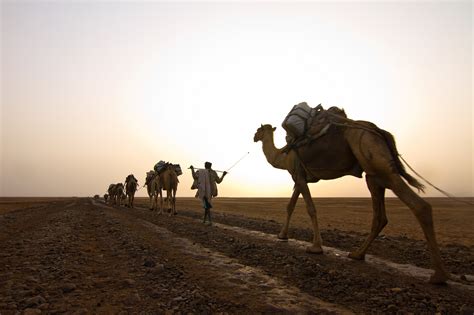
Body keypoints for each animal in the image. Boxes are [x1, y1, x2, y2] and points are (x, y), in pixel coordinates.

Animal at [252, 110, 448, 284]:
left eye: (259, 129)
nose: (253, 137)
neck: (283, 155)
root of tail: (378, 130)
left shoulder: (299, 176)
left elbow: (310, 208)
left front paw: (316, 247)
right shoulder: (301, 178)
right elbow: (290, 206)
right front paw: (282, 235)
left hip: (374, 156)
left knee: (420, 206)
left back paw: (438, 276)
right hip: (373, 174)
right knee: (380, 216)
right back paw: (357, 254)